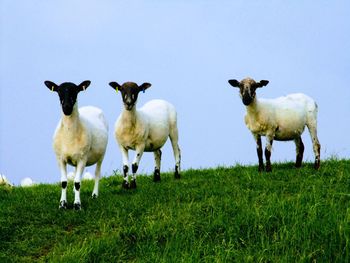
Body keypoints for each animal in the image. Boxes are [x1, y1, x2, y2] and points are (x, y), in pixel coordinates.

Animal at [44, 80, 108, 210]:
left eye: (75, 91)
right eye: (58, 91)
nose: (67, 108)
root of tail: (91, 107)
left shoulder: (82, 158)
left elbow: (78, 183)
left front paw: (77, 205)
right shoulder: (60, 158)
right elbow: (64, 182)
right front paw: (62, 204)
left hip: (101, 155)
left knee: (97, 174)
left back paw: (95, 194)